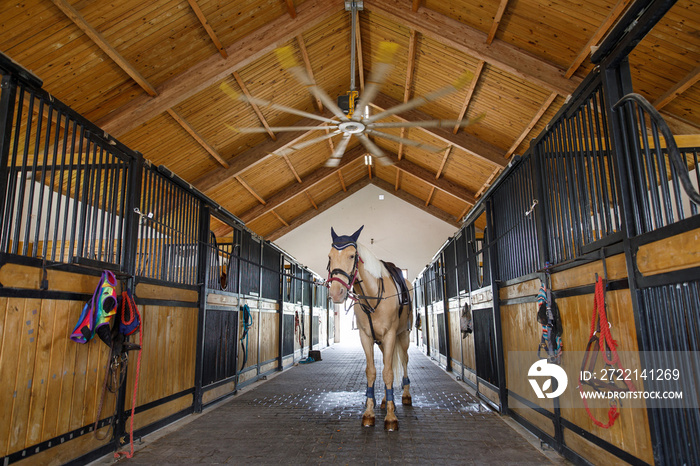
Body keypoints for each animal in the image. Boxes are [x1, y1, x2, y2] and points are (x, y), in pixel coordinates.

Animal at [326, 225, 412, 430]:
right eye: (330, 257)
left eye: (352, 256)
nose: (336, 292)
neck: (373, 297)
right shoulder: (366, 337)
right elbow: (373, 371)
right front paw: (369, 413)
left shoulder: (390, 336)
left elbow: (388, 373)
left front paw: (391, 418)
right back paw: (386, 400)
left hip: (403, 335)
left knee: (404, 360)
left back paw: (406, 395)